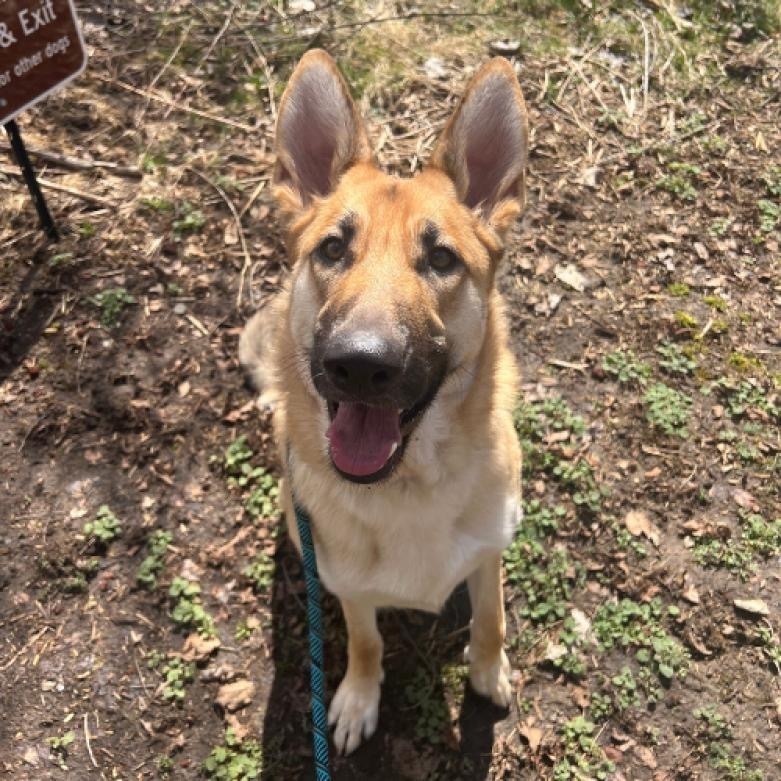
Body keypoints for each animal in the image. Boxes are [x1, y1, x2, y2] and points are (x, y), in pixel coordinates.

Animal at [241, 50, 528, 756]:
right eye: (332, 249)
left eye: (441, 258)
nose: (360, 365)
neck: (408, 488)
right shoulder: (348, 587)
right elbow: (366, 640)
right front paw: (358, 697)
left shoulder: (490, 556)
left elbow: (491, 619)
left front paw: (489, 671)